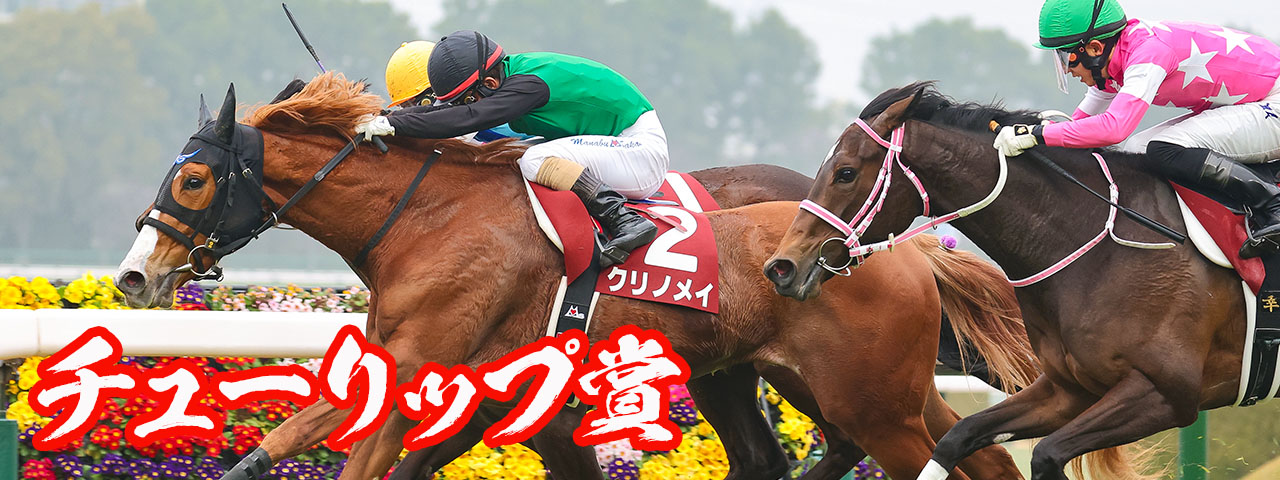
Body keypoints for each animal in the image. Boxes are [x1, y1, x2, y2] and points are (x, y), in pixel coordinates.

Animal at [114, 73, 1034, 480]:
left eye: (191, 180)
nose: (132, 278)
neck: (426, 220)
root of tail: (901, 249)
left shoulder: (420, 367)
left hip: (867, 398)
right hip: (838, 386)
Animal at [762, 81, 1248, 480]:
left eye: (845, 172)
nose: (782, 267)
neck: (1104, 245)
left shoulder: (1165, 393)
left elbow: (1046, 455)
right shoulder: (1067, 390)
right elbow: (957, 438)